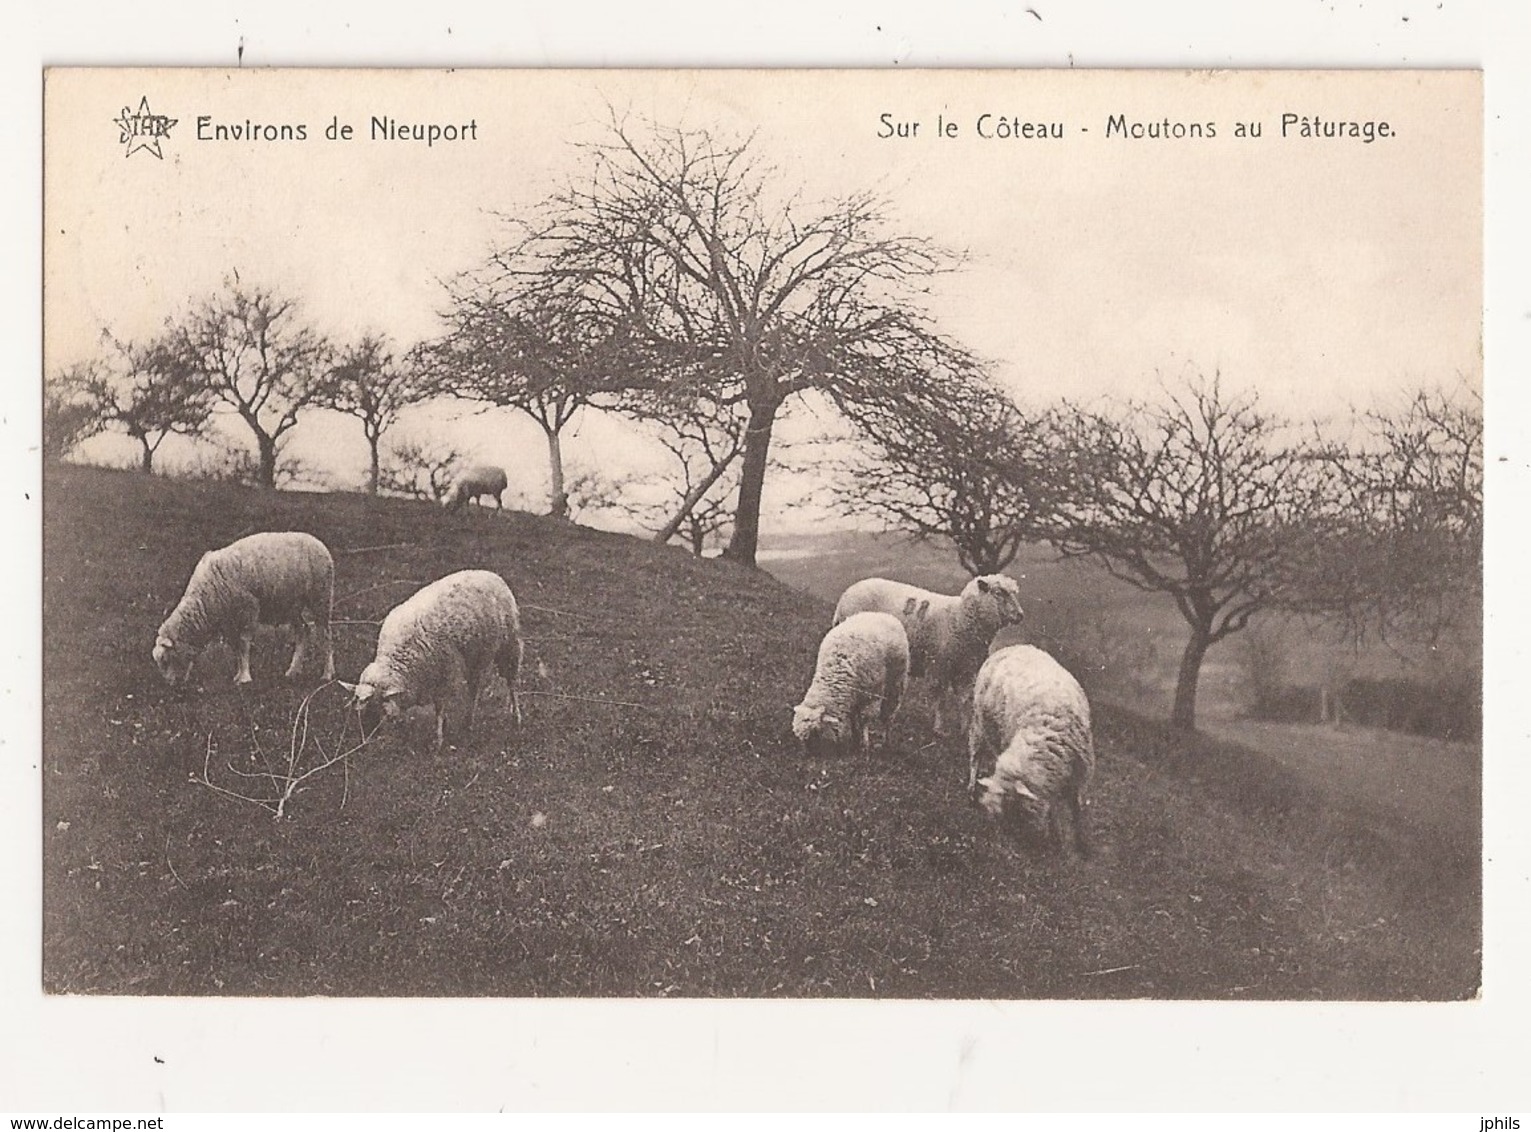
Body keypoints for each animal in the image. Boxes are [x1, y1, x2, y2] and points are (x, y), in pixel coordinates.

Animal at [150, 533, 333, 686]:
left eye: (165, 660)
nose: (172, 685)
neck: (204, 600)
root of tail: (317, 541)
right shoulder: (229, 622)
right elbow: (236, 647)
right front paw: (238, 675)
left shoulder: (248, 612)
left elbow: (243, 645)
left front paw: (245, 678)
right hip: (291, 606)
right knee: (303, 631)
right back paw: (293, 670)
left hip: (321, 598)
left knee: (325, 635)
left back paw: (327, 673)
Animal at [339, 566, 520, 753]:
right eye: (360, 712)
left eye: (378, 708)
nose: (367, 742)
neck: (398, 658)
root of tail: (488, 573)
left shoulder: (445, 674)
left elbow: (439, 709)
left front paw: (438, 740)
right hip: (474, 656)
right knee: (474, 689)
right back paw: (468, 722)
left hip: (509, 644)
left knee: (511, 681)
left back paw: (516, 717)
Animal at [789, 615, 906, 756]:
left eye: (816, 732)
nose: (809, 756)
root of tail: (880, 614)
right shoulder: (852, 696)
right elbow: (852, 717)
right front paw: (855, 740)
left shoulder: (871, 695)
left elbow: (865, 719)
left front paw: (865, 745)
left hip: (896, 681)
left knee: (889, 713)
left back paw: (886, 741)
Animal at [832, 575, 1022, 735]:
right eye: (998, 593)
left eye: (1014, 593)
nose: (1020, 615)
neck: (959, 618)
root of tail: (845, 595)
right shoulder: (938, 665)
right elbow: (940, 698)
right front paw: (938, 728)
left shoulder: (966, 669)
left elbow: (964, 700)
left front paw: (964, 728)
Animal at [967, 643, 1090, 851]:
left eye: (1010, 807)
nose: (997, 843)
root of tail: (1014, 646)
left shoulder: (1078, 782)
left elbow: (1076, 815)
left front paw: (1076, 844)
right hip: (981, 723)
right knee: (975, 756)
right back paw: (971, 784)